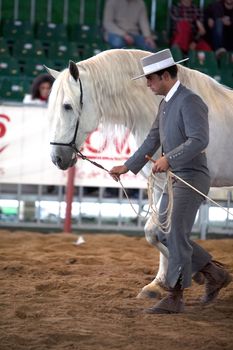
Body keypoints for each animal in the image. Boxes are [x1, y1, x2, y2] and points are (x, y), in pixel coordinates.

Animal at [46, 49, 233, 300]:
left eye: (67, 106)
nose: (57, 158)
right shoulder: (161, 185)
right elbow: (157, 232)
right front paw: (159, 284)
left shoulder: (188, 187)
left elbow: (162, 232)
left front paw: (192, 274)